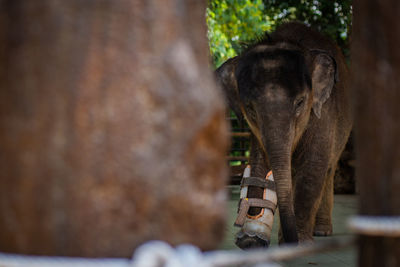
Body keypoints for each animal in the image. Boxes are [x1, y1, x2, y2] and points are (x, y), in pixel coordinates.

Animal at [216, 22, 354, 248]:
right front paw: (252, 239)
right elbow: (258, 164)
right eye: (250, 109)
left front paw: (301, 243)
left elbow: (313, 168)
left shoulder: (324, 114)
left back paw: (321, 232)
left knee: (328, 170)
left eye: (300, 103)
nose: (293, 241)